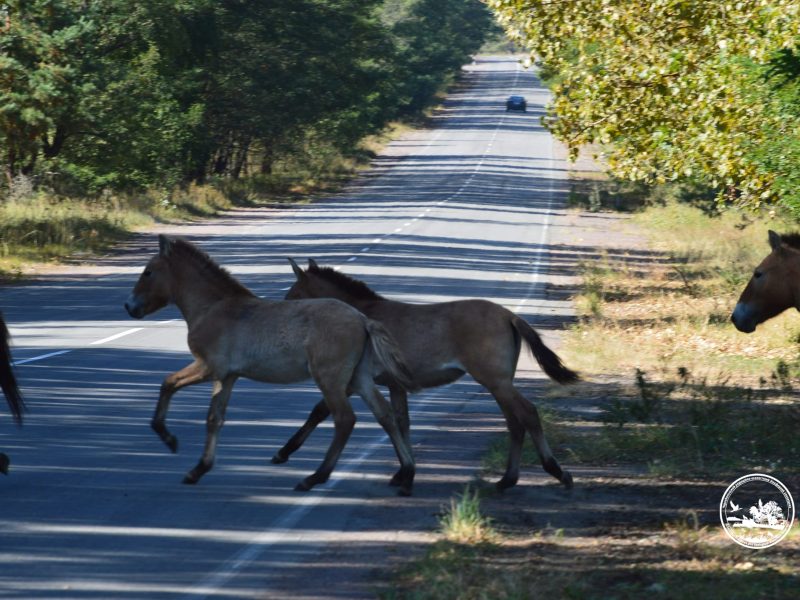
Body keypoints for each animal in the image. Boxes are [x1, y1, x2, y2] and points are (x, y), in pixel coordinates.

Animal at [125, 237, 418, 494]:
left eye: (148, 272)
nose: (129, 307)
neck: (214, 307)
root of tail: (362, 319)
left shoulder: (209, 367)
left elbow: (168, 383)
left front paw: (169, 439)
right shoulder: (227, 376)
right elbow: (214, 419)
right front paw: (199, 469)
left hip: (330, 378)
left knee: (345, 419)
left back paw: (314, 478)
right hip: (359, 378)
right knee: (385, 415)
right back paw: (406, 474)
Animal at [278, 258, 580, 492]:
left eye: (294, 295)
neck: (361, 316)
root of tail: (509, 316)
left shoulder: (354, 380)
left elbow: (320, 411)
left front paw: (284, 452)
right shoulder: (393, 385)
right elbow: (401, 422)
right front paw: (403, 472)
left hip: (496, 381)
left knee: (527, 414)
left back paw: (557, 472)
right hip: (499, 384)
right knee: (514, 423)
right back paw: (507, 479)